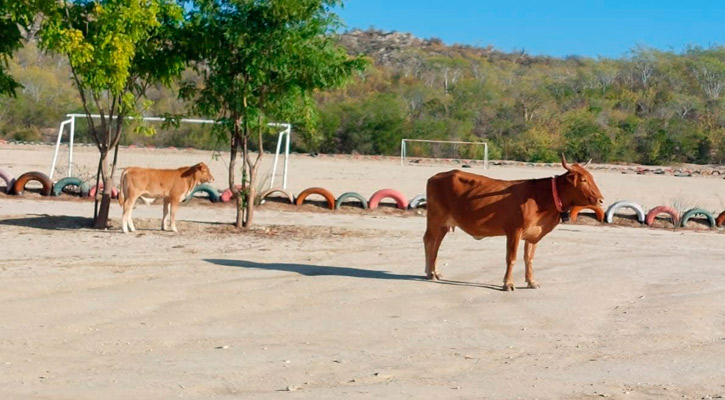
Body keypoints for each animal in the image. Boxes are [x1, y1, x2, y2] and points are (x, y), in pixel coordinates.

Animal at [422, 154, 604, 290]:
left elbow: (529, 258)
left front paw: (531, 281)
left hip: (444, 224)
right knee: (429, 240)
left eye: (591, 177)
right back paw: (429, 272)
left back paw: (435, 272)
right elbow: (512, 258)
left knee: (436, 244)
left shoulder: (533, 234)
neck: (540, 198)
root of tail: (438, 175)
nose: (601, 200)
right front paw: (508, 283)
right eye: (583, 180)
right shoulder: (514, 231)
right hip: (435, 218)